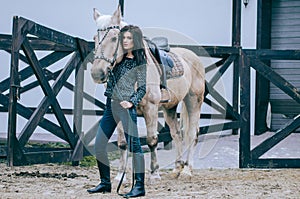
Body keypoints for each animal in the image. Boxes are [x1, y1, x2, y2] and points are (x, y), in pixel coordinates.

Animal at [90, 5, 205, 182]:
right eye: (95, 38)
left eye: (115, 38)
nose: (97, 73)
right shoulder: (119, 110)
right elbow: (123, 142)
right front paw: (120, 176)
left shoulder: (150, 109)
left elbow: (152, 140)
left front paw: (154, 174)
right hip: (169, 108)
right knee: (177, 134)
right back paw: (176, 169)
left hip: (193, 101)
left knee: (192, 134)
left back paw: (187, 170)